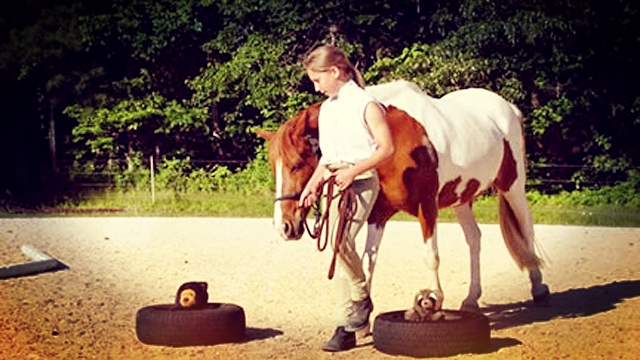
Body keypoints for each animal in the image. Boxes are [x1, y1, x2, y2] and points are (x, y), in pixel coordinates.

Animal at [258, 81, 548, 310]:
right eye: (274, 166)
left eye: (296, 164)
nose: (283, 226)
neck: (391, 137)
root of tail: (508, 108)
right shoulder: (378, 213)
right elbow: (368, 262)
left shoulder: (427, 206)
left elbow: (431, 257)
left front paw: (434, 300)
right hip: (462, 196)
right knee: (474, 239)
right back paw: (471, 298)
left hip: (513, 186)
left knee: (526, 228)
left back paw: (538, 286)